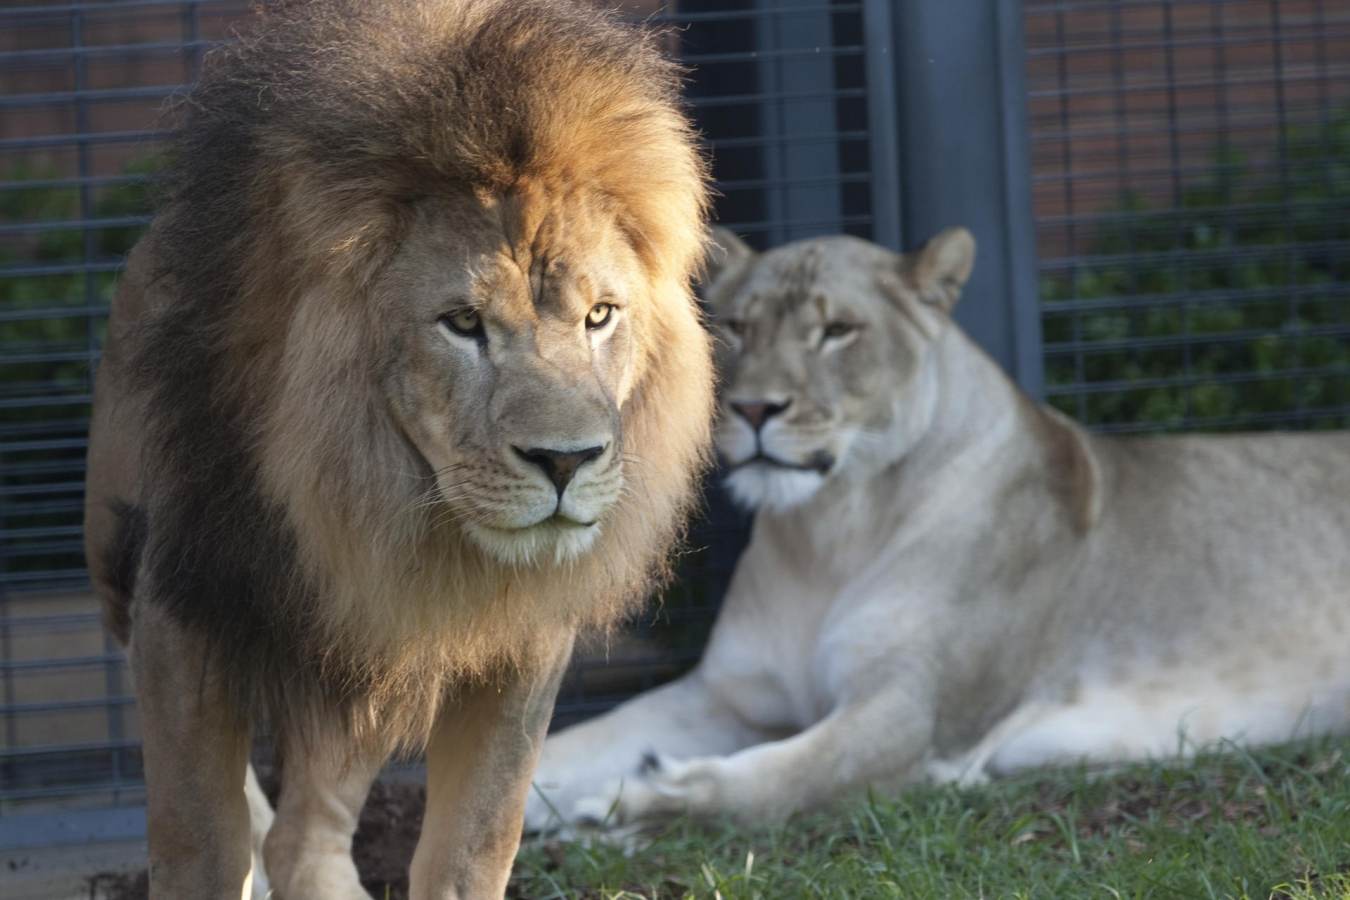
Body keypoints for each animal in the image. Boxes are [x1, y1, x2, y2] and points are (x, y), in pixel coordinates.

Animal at [81, 3, 718, 895]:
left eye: (600, 316)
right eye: (462, 323)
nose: (566, 463)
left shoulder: (502, 638)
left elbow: (474, 844)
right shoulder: (181, 600)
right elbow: (198, 840)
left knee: (303, 834)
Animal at [523, 225, 1350, 831]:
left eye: (837, 331)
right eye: (736, 327)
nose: (754, 409)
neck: (826, 535)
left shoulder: (914, 716)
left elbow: (774, 782)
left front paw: (630, 803)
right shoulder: (727, 697)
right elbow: (567, 749)